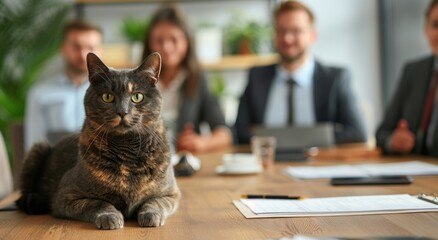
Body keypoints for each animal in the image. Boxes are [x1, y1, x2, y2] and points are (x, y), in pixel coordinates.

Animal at [16, 52, 181, 229]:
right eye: (107, 97)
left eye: (137, 97)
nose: (122, 112)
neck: (127, 151)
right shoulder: (65, 196)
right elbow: (99, 203)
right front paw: (110, 216)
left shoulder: (171, 193)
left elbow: (155, 201)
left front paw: (151, 215)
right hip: (37, 149)